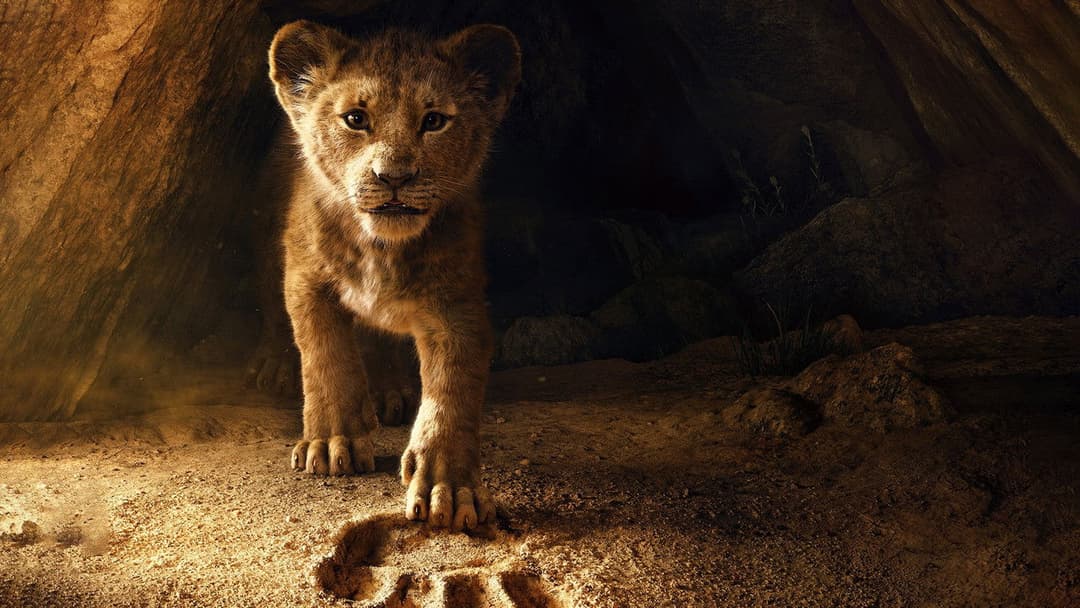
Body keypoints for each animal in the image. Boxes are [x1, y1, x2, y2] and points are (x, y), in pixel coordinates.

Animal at [266, 20, 521, 531]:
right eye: (355, 118)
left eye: (434, 120)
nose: (394, 177)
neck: (381, 248)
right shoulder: (305, 279)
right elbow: (326, 358)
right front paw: (332, 443)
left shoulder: (457, 305)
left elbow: (452, 392)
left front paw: (450, 487)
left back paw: (390, 392)